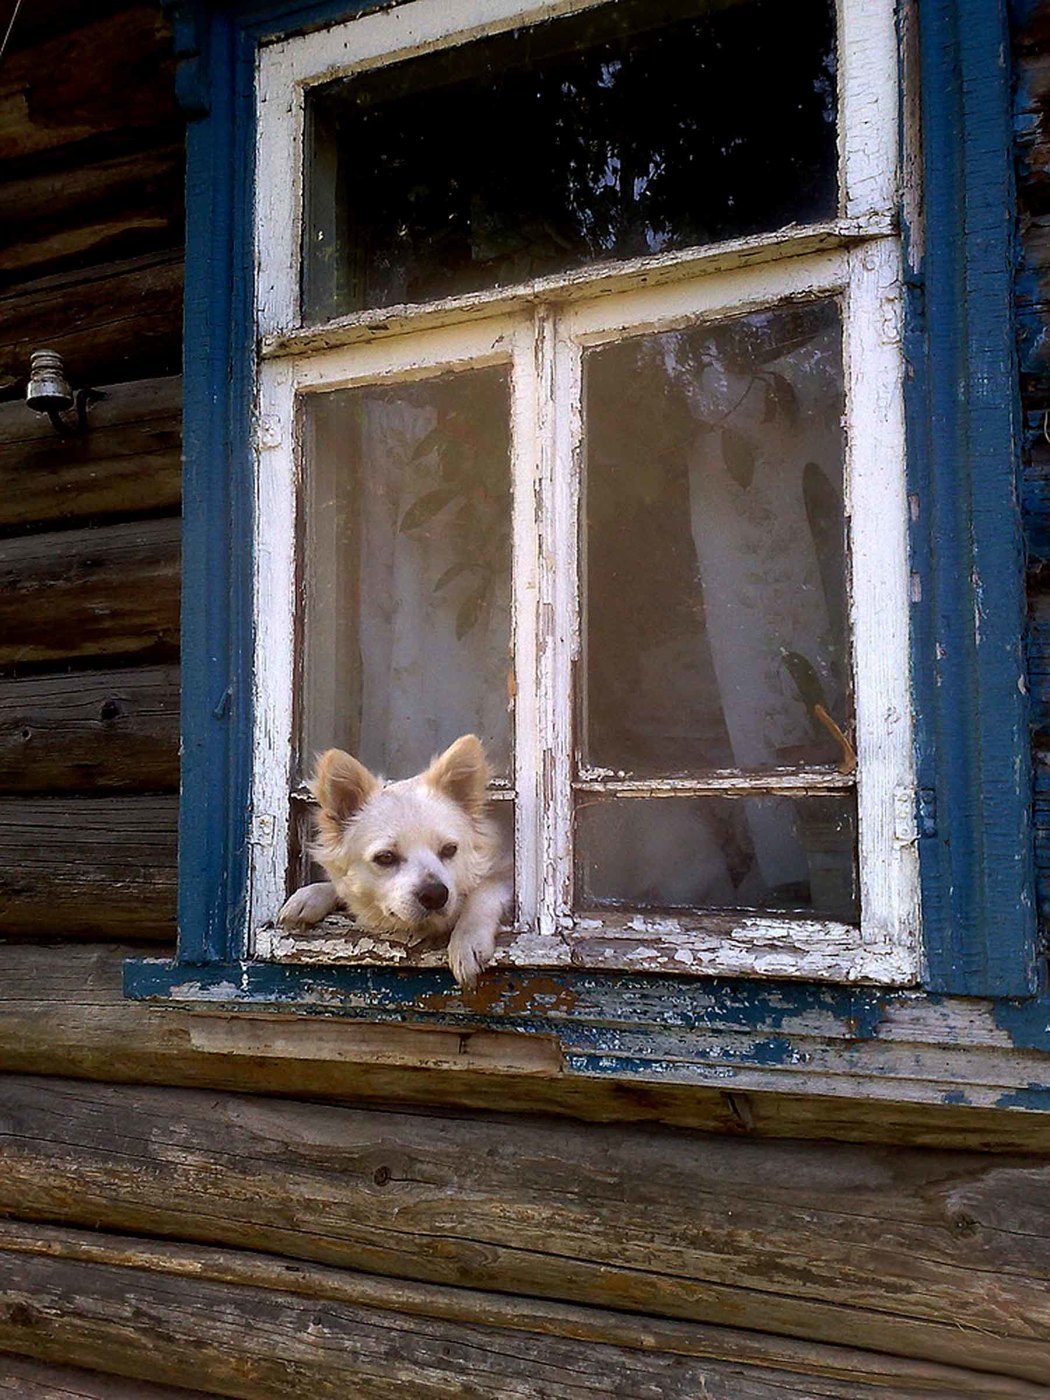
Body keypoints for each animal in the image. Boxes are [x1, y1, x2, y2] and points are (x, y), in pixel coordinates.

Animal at [277, 733, 512, 985]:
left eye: (449, 850)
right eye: (385, 857)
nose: (436, 894)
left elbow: (485, 889)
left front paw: (467, 938)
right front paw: (309, 896)